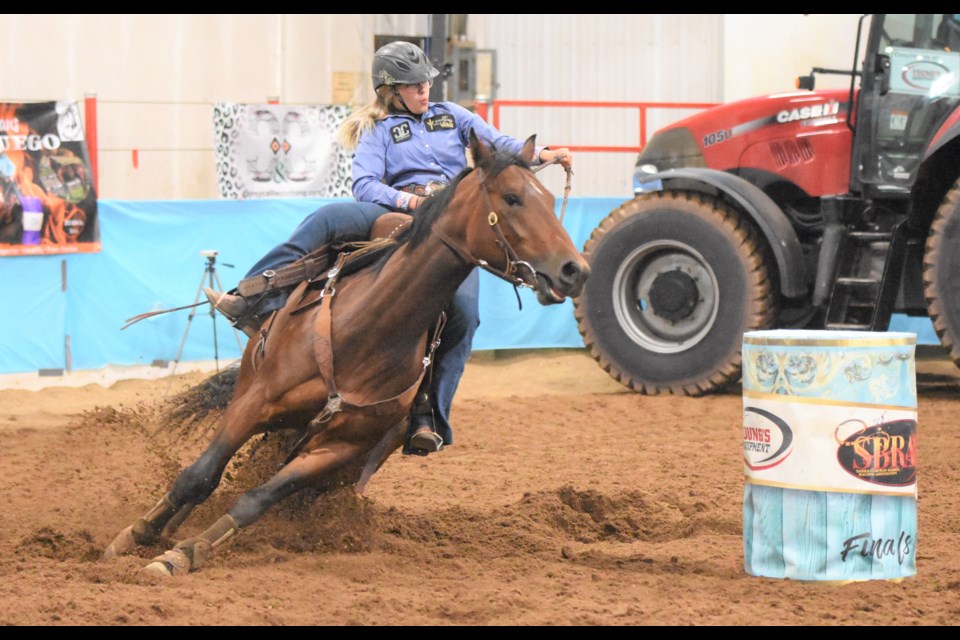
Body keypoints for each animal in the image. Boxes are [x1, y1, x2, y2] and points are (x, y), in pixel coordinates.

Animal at [101, 130, 588, 576]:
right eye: (512, 198)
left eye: (549, 198)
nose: (575, 270)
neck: (368, 330)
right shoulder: (253, 404)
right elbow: (198, 475)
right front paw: (135, 537)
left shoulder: (339, 447)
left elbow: (256, 499)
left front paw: (184, 553)